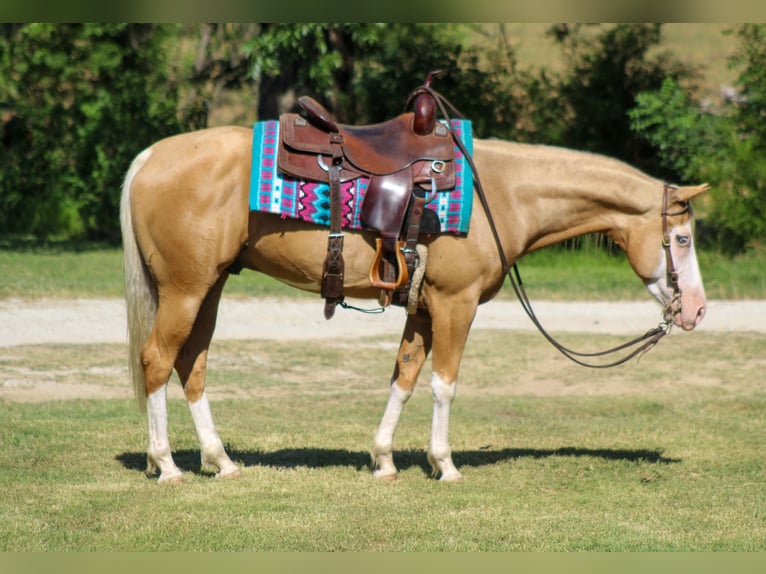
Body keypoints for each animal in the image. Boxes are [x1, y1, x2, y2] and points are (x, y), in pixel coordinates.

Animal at [120, 125, 708, 483]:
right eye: (681, 239)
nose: (697, 310)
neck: (501, 193)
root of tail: (151, 156)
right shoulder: (456, 305)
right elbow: (444, 383)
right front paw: (444, 464)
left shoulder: (423, 308)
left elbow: (403, 377)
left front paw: (383, 459)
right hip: (186, 290)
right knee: (157, 361)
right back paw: (167, 464)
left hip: (209, 288)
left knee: (191, 365)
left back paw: (220, 460)